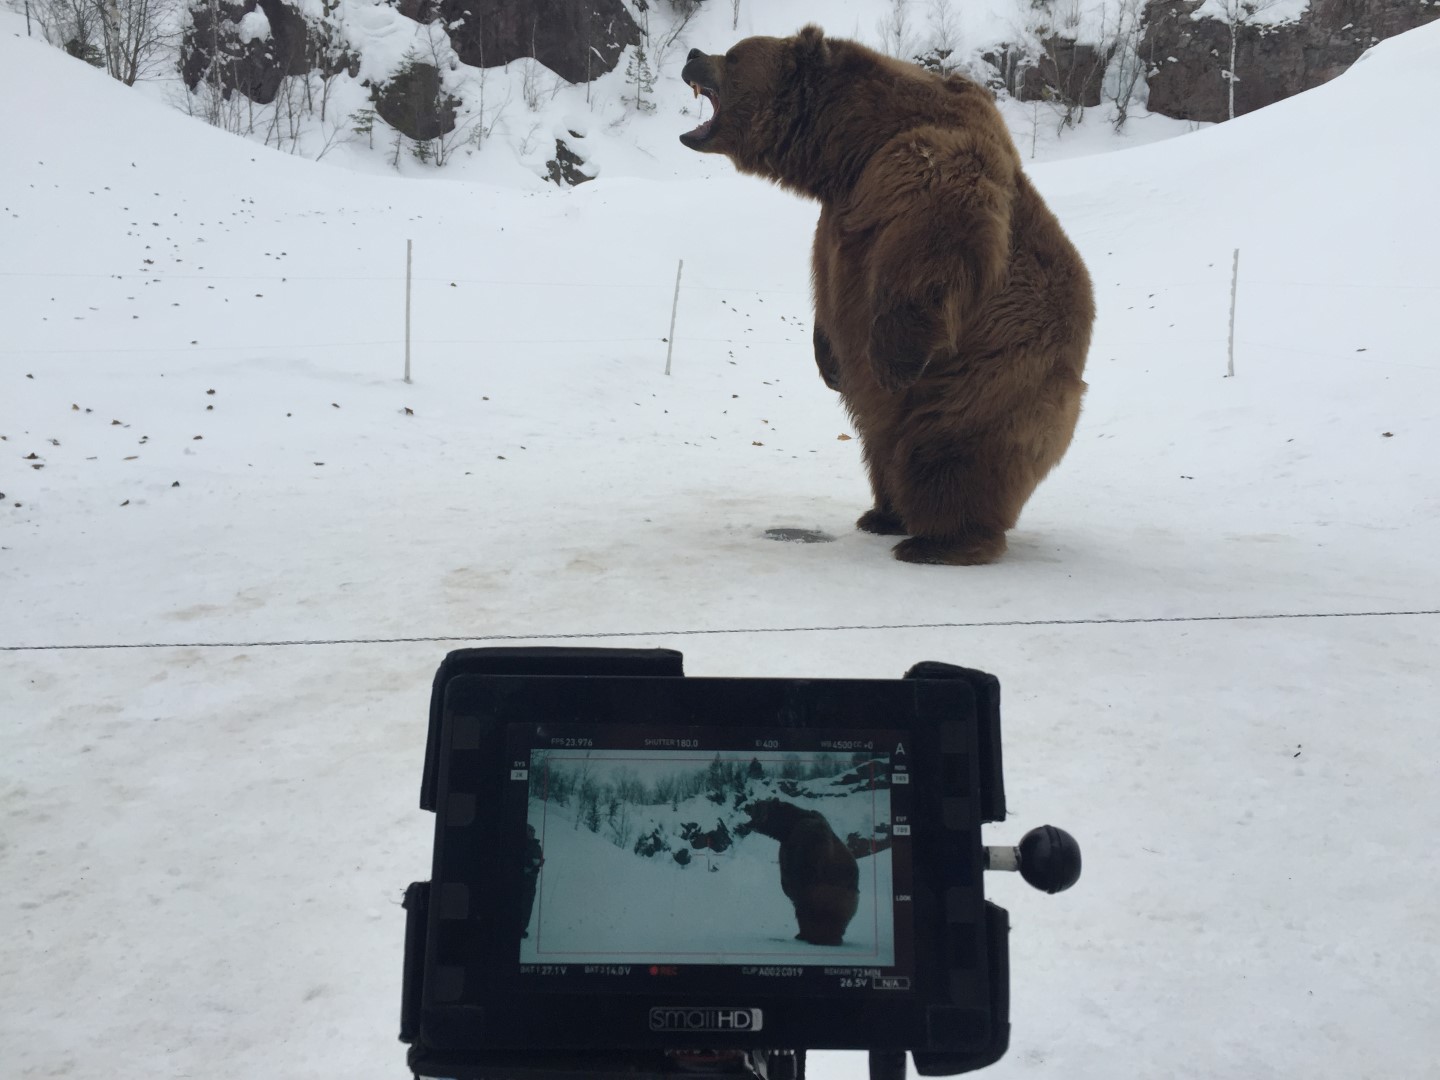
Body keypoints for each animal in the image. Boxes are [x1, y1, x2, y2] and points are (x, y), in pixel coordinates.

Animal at [679, 27, 1095, 564]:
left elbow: (937, 243)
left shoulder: (925, 162)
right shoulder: (840, 211)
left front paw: (892, 361)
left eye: (731, 55)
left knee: (949, 453)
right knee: (880, 444)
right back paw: (883, 514)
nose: (693, 53)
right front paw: (828, 362)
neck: (851, 148)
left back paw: (941, 540)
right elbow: (825, 290)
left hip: (991, 375)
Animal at [741, 798, 859, 946]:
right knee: (802, 912)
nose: (746, 806)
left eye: (757, 804)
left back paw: (825, 937)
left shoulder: (807, 836)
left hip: (834, 893)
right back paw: (803, 934)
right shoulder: (786, 846)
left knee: (822, 912)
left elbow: (802, 868)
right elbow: (786, 870)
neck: (788, 828)